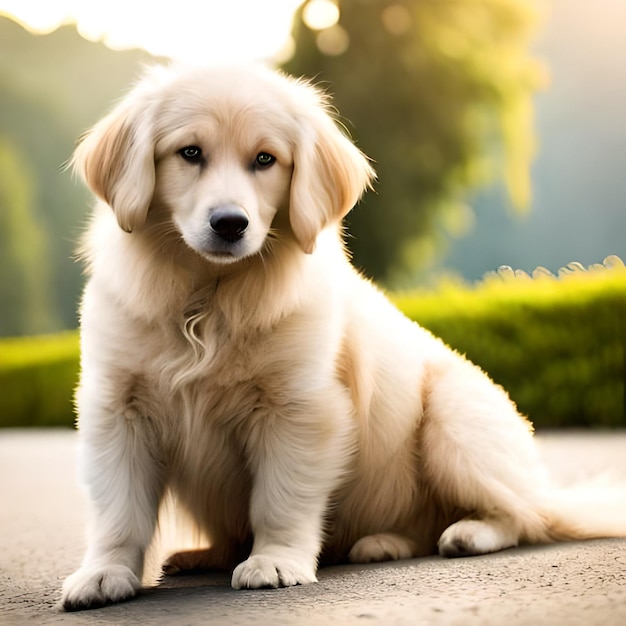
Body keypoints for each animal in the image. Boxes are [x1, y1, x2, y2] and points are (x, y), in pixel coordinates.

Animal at [61, 64, 620, 608]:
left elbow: (280, 497)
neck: (208, 300)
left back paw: (465, 533)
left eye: (265, 159)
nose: (230, 224)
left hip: (454, 416)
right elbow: (118, 507)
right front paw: (104, 573)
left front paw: (275, 561)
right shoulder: (118, 405)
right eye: (190, 153)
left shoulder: (300, 407)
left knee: (525, 517)